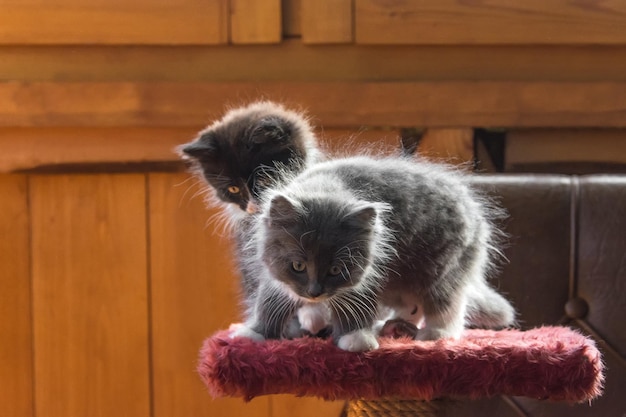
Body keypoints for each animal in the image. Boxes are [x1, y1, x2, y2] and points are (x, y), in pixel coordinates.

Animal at [232, 156, 516, 352]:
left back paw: (435, 334)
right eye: (298, 266)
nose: (315, 293)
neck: (326, 188)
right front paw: (255, 333)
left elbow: (355, 305)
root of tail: (477, 216)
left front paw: (355, 337)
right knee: (413, 307)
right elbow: (268, 303)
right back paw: (390, 326)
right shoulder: (275, 277)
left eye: (336, 270)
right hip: (402, 284)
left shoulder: (370, 272)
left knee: (448, 308)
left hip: (442, 270)